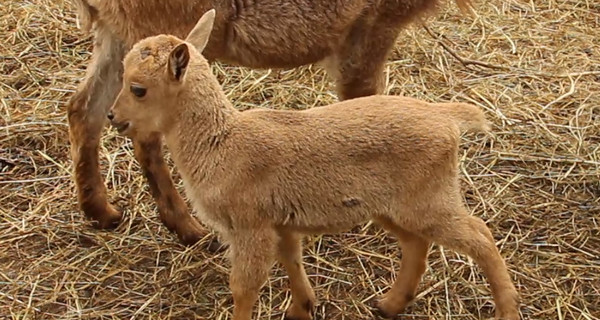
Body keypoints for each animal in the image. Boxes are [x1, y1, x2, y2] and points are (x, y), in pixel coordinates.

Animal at [69, 0, 474, 246]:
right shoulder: (371, 26)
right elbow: (362, 100)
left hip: (119, 32)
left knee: (83, 108)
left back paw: (101, 213)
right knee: (143, 131)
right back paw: (189, 229)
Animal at [108, 10, 520, 320]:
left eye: (139, 88)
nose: (114, 117)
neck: (221, 142)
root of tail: (447, 118)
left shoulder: (250, 225)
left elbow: (244, 286)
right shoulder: (279, 221)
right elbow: (291, 259)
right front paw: (303, 308)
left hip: (429, 197)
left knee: (480, 235)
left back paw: (506, 310)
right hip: (393, 205)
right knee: (416, 244)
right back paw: (388, 305)